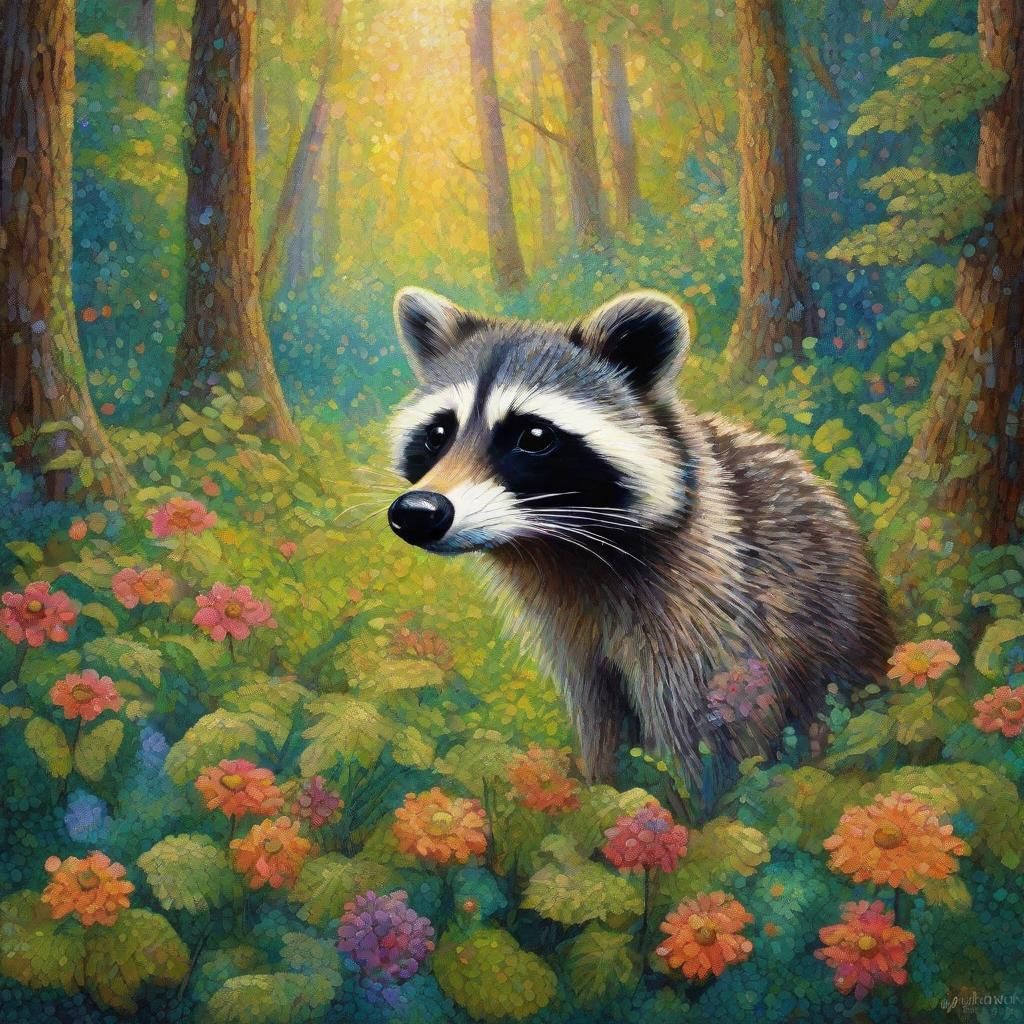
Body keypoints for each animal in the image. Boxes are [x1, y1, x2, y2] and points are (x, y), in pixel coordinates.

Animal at [386, 286, 894, 805]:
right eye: (438, 433)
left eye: (534, 436)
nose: (418, 511)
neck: (558, 548)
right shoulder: (574, 642)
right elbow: (599, 717)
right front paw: (603, 788)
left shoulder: (710, 600)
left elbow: (710, 731)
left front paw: (700, 808)